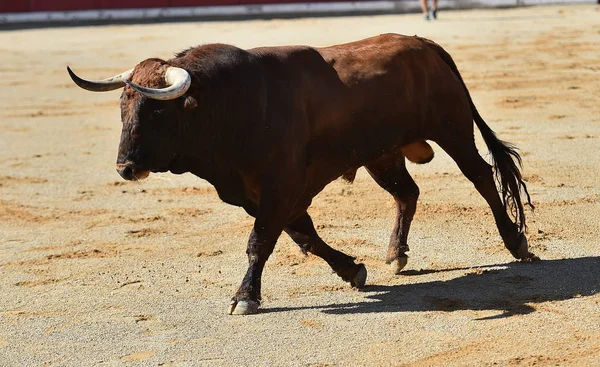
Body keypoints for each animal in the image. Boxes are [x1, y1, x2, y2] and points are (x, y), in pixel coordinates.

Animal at [68, 33, 536, 316]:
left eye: (156, 110)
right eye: (123, 107)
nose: (125, 168)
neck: (230, 104)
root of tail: (424, 43)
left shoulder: (280, 184)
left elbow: (261, 241)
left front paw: (244, 297)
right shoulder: (257, 192)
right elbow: (303, 235)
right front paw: (352, 270)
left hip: (452, 129)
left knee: (481, 178)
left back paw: (516, 243)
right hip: (382, 155)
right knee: (407, 193)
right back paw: (395, 253)